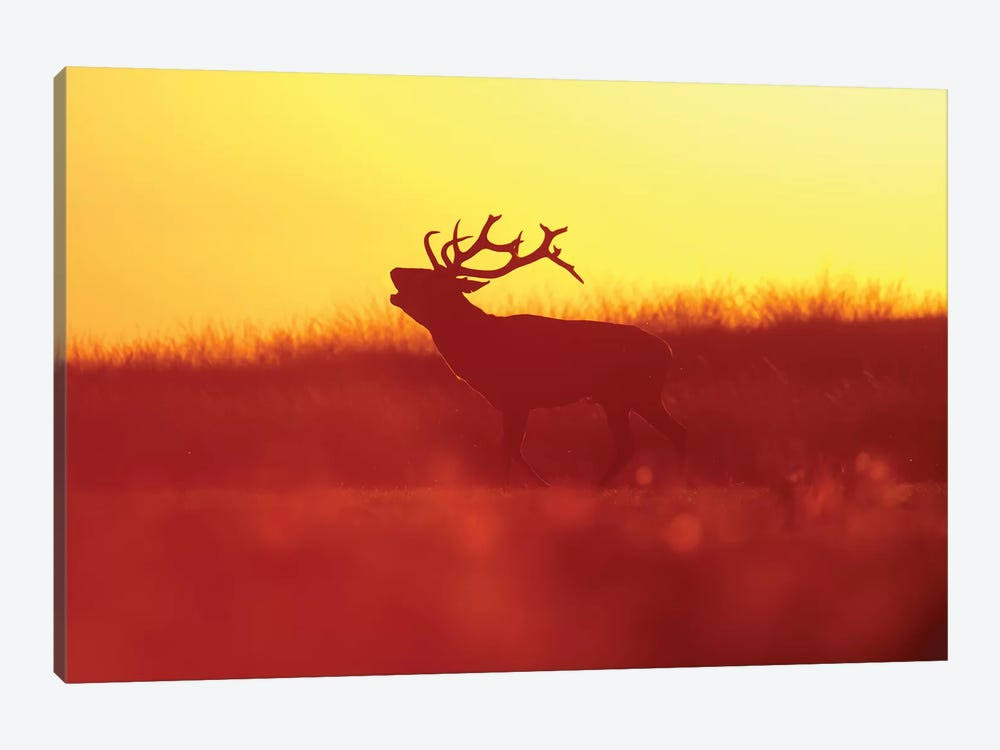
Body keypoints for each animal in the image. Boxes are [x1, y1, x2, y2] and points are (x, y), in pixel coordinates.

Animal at [389, 214, 686, 487]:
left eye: (427, 280)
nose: (394, 270)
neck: (480, 345)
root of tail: (667, 351)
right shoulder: (511, 403)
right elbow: (510, 448)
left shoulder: (517, 397)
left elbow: (511, 448)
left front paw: (520, 487)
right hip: (622, 399)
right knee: (646, 440)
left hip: (635, 394)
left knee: (664, 435)